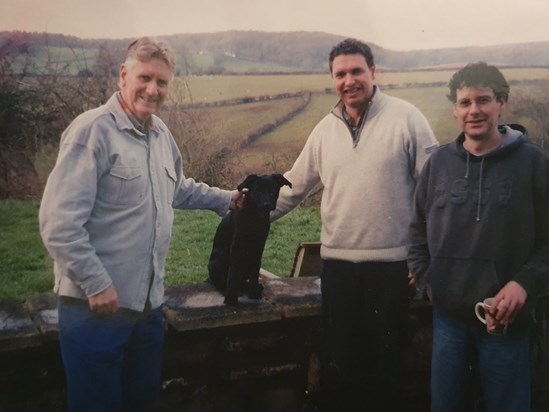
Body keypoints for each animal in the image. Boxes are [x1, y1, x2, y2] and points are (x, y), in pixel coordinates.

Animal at [207, 174, 292, 306]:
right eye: (258, 192)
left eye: (273, 191)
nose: (267, 204)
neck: (255, 217)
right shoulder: (237, 246)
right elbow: (233, 274)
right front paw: (231, 298)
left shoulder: (259, 247)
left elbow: (255, 273)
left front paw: (253, 292)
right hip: (218, 260)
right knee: (219, 281)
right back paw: (225, 289)